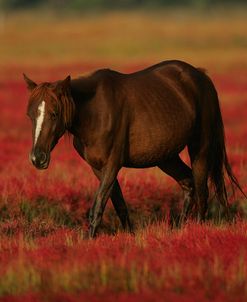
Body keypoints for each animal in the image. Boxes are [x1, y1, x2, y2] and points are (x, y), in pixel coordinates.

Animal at [23, 60, 243, 237]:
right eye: (30, 115)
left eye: (54, 113)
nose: (38, 158)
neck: (94, 112)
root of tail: (200, 76)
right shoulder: (98, 168)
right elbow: (119, 204)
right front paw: (130, 236)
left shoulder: (112, 164)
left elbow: (98, 206)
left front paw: (88, 241)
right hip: (166, 157)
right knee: (188, 183)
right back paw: (180, 228)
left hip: (200, 149)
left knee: (202, 191)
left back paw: (196, 230)